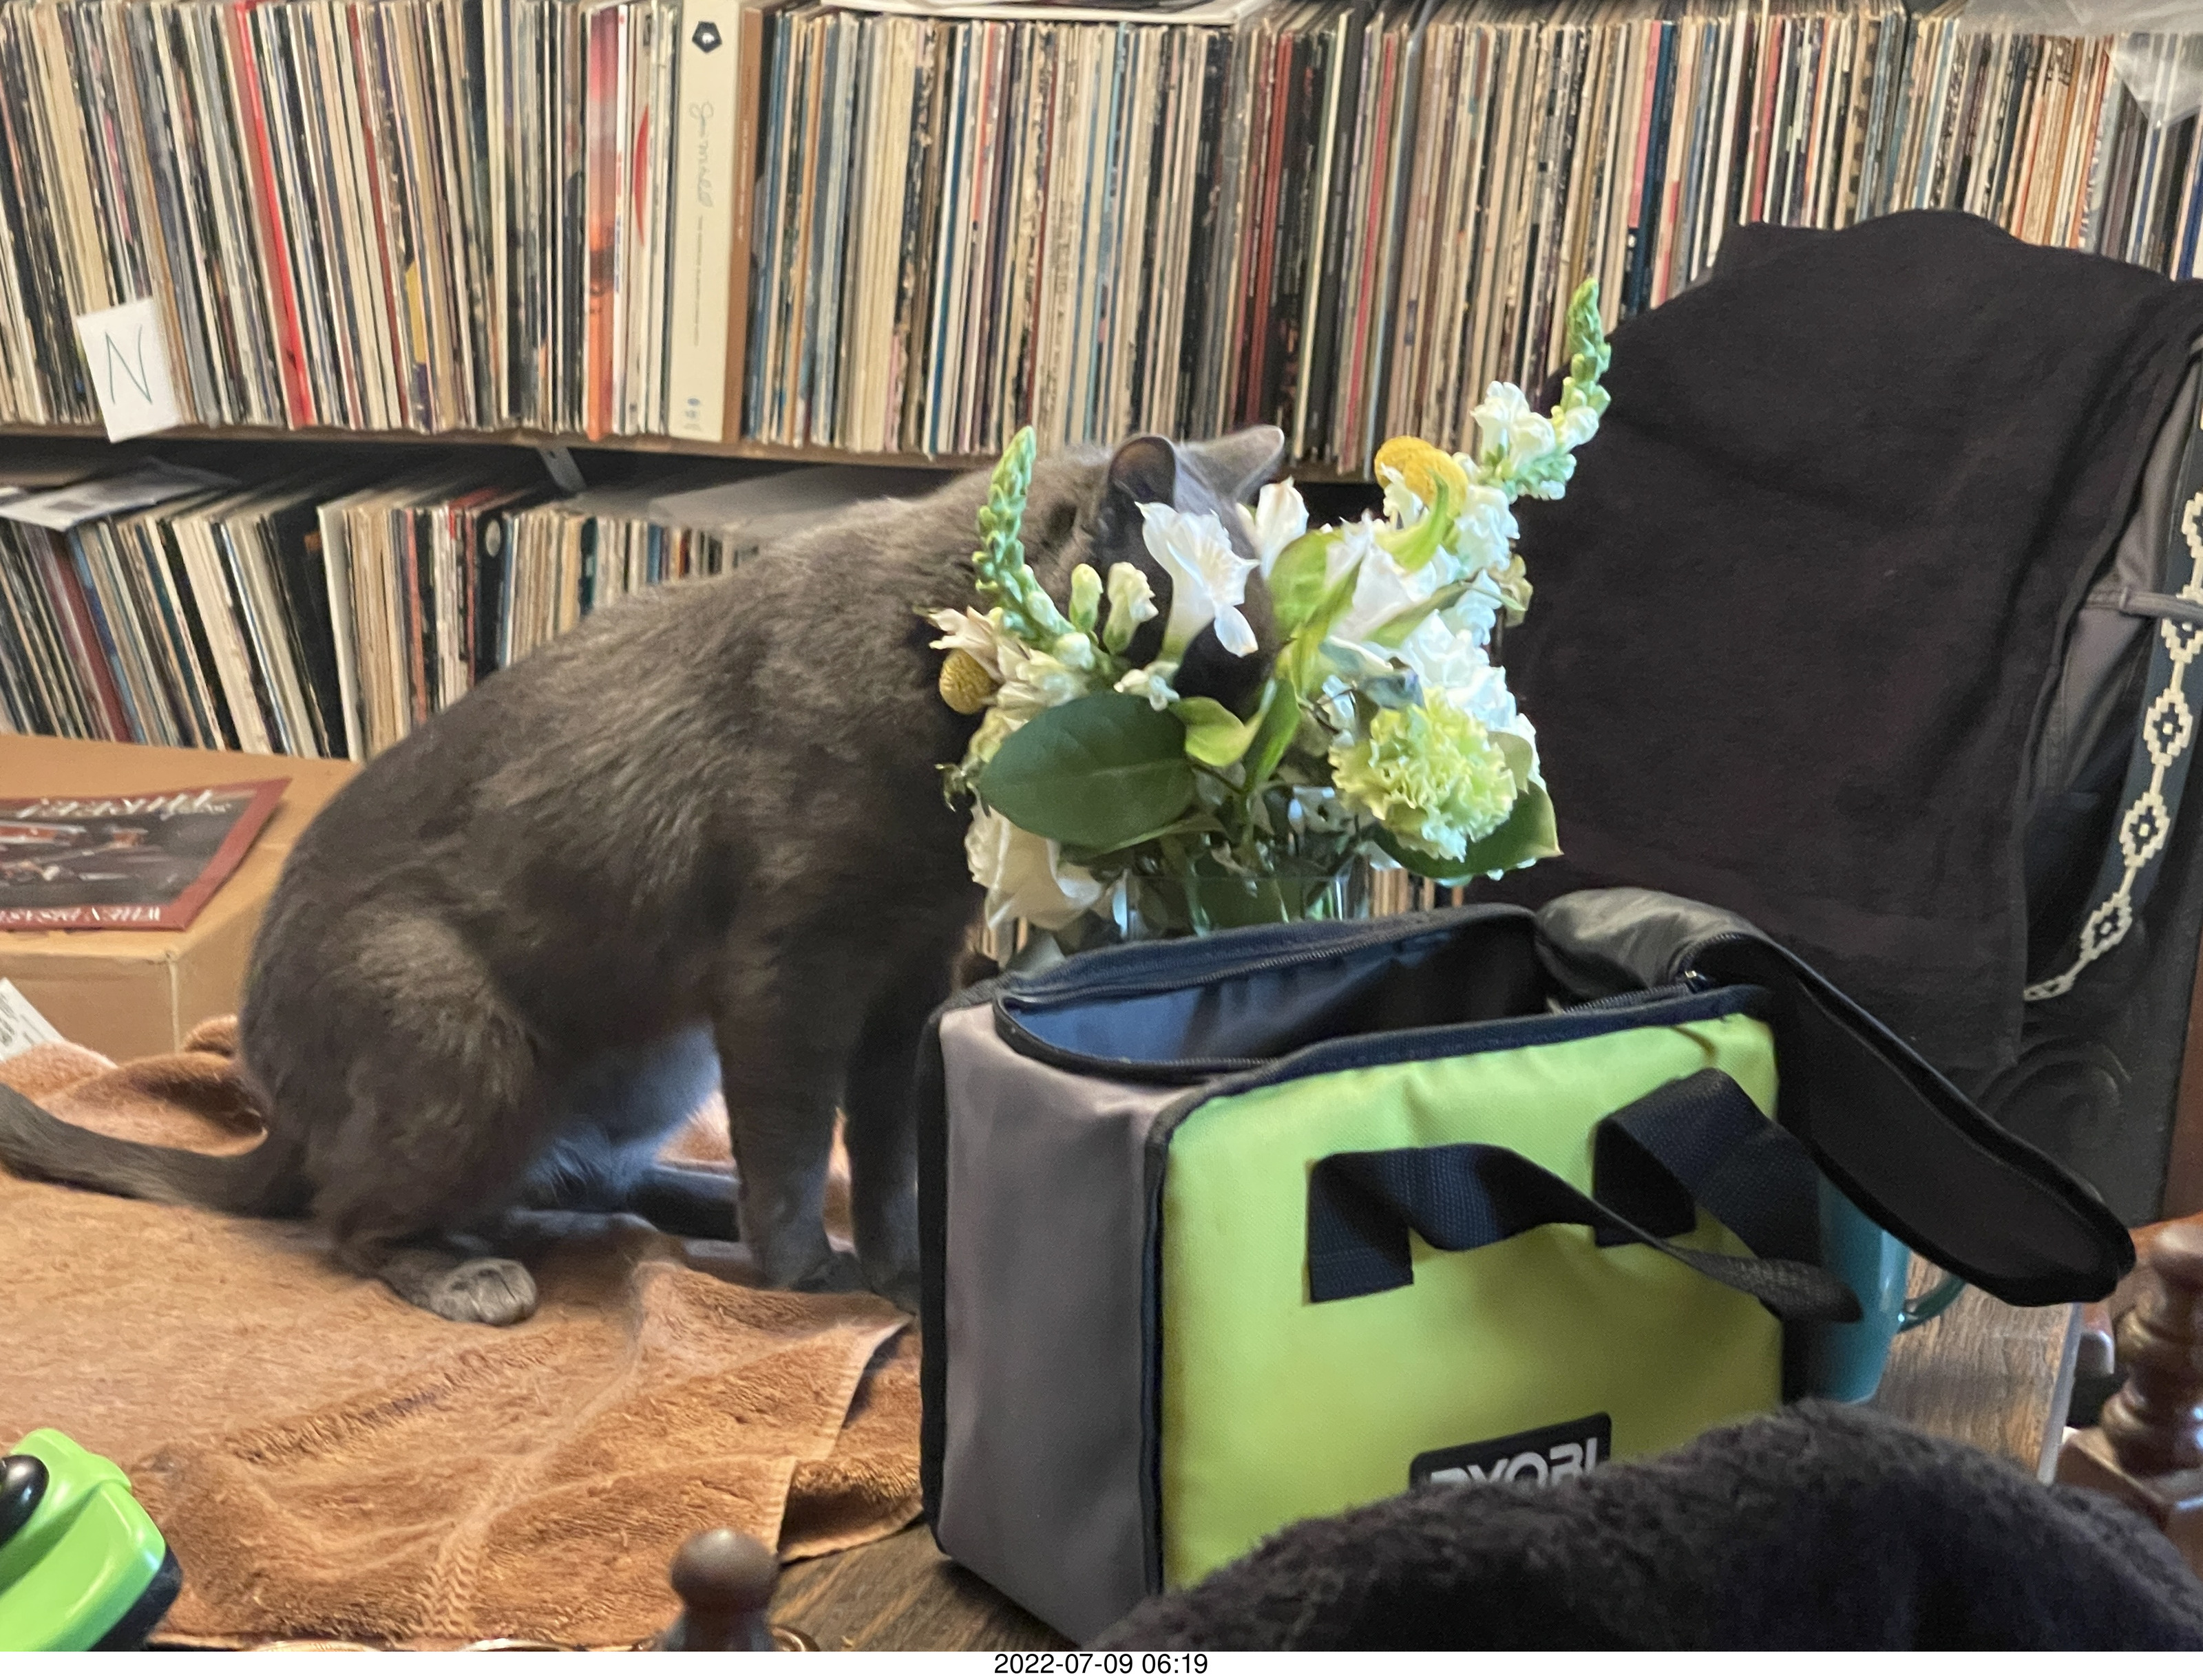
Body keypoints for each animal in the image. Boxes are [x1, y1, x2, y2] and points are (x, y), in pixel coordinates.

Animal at [0, 427, 1286, 1324]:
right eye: (1210, 662)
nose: (1252, 754)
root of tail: (277, 1113)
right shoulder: (789, 968)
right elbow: (789, 1132)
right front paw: (808, 1277)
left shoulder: (906, 977)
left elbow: (883, 1152)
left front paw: (902, 1268)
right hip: (464, 1038)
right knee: (354, 1218)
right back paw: (476, 1275)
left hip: (648, 1067)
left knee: (578, 1183)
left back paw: (691, 1204)